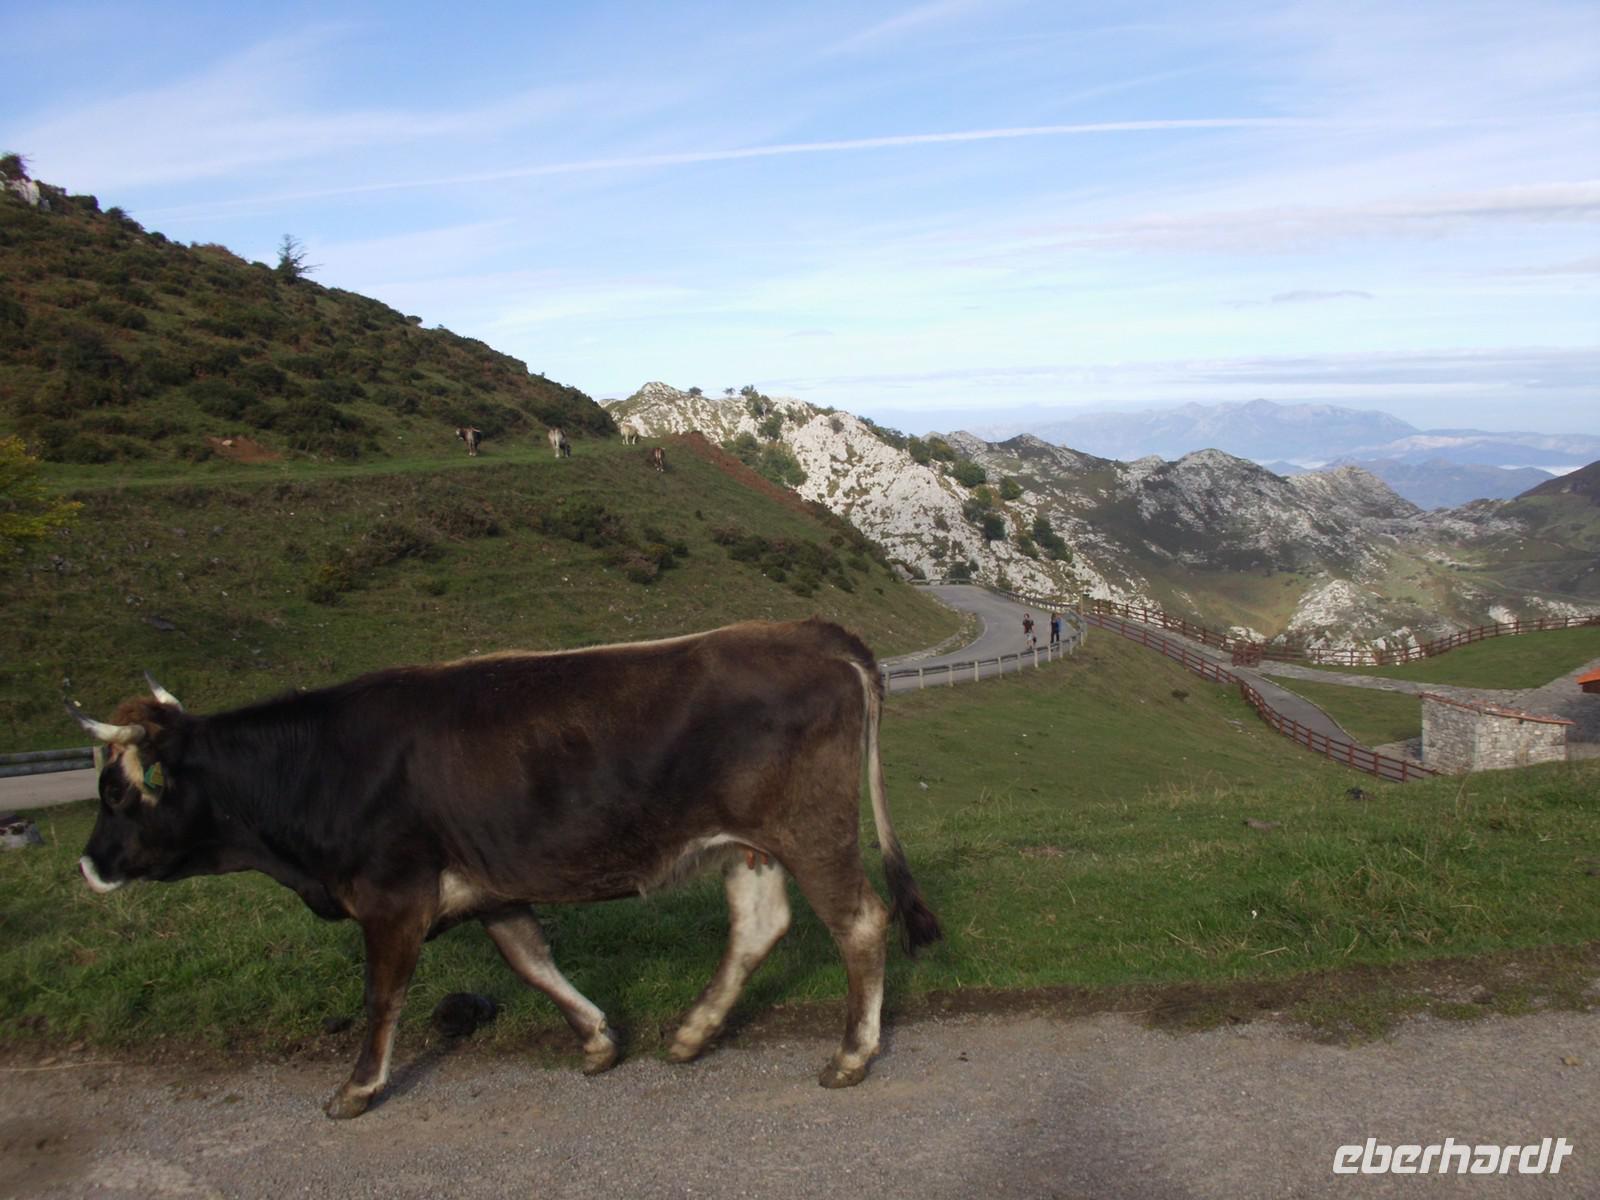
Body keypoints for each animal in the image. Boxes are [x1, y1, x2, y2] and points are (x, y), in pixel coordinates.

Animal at [69, 622, 940, 1120]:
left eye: (116, 792)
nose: (87, 863)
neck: (319, 769)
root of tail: (808, 630)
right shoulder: (489, 887)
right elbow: (531, 963)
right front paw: (597, 1041)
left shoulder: (391, 894)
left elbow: (382, 996)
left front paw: (357, 1089)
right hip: (749, 842)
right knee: (761, 927)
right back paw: (694, 1033)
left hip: (811, 827)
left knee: (860, 921)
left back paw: (852, 1056)